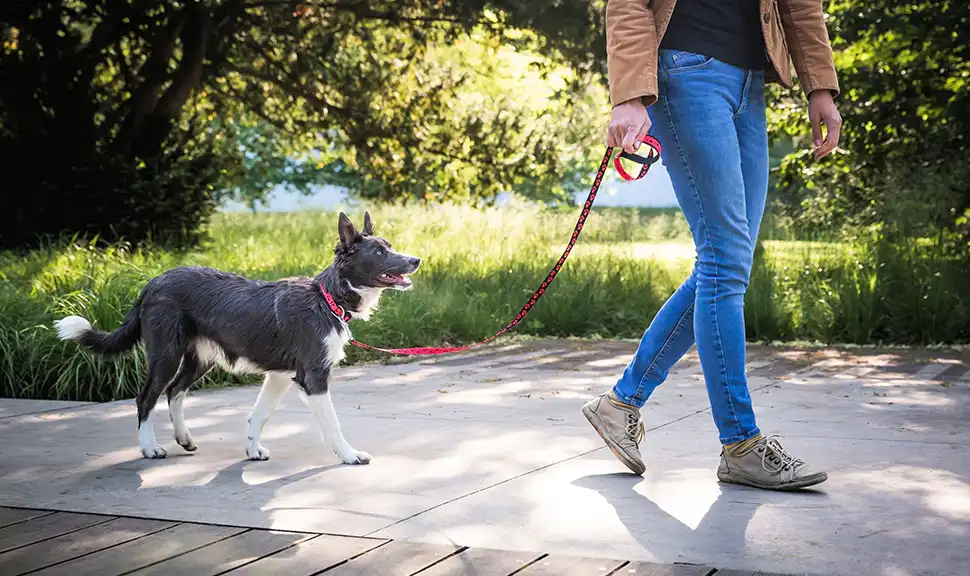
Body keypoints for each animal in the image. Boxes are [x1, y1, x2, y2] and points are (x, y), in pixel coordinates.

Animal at [53, 212, 416, 464]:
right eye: (380, 252)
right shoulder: (313, 377)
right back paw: (150, 448)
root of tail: (152, 283)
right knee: (147, 398)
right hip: (166, 354)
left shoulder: (280, 376)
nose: (416, 260)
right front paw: (349, 455)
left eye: (390, 247)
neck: (327, 298)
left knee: (174, 392)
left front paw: (252, 450)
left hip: (200, 358)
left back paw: (184, 438)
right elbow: (332, 424)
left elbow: (259, 414)